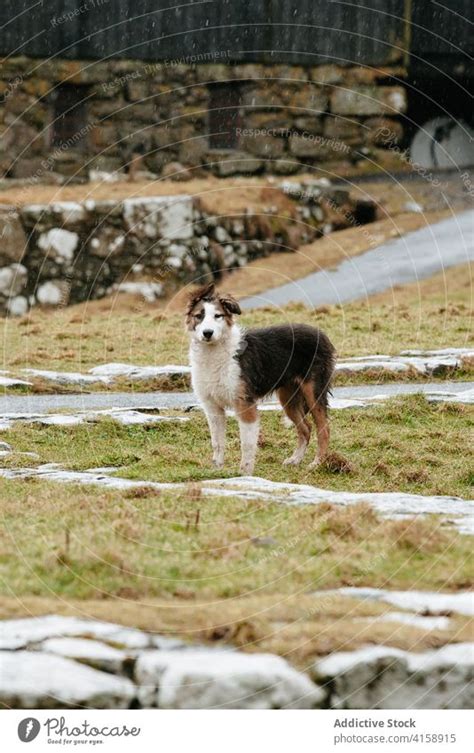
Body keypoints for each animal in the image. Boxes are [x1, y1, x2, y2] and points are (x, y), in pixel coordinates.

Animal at [187, 284, 336, 472]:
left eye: (217, 316)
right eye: (199, 316)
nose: (208, 333)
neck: (213, 353)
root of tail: (321, 334)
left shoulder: (245, 404)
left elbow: (247, 443)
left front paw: (245, 472)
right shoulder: (212, 407)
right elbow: (217, 442)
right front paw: (217, 470)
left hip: (313, 392)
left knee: (324, 429)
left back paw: (317, 463)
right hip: (288, 398)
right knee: (306, 428)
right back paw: (295, 459)